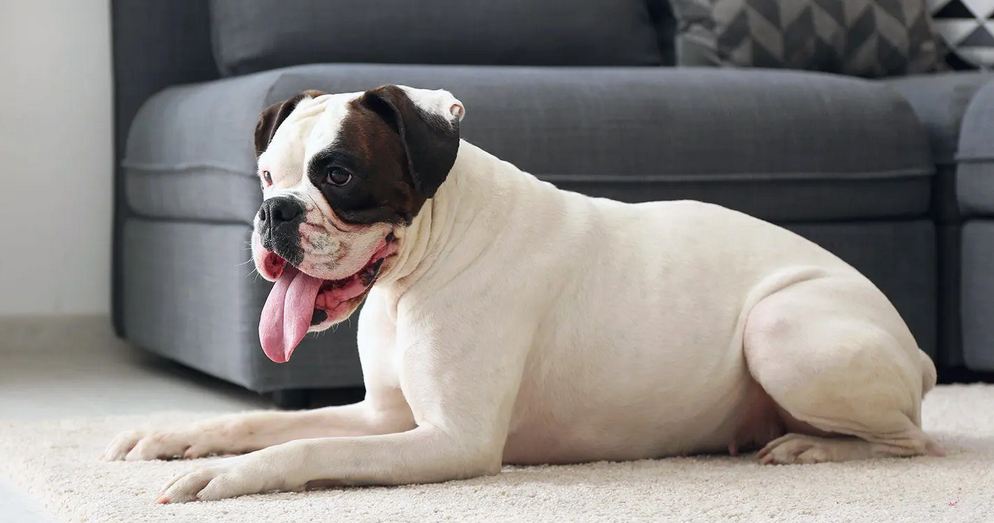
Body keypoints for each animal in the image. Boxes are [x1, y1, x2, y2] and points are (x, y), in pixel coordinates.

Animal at [102, 85, 944, 504]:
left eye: (337, 174)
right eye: (267, 176)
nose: (274, 213)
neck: (421, 266)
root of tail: (920, 350)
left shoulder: (452, 440)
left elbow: (307, 444)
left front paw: (224, 478)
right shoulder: (384, 416)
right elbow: (258, 420)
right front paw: (176, 435)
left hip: (778, 326)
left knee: (912, 441)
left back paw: (810, 444)